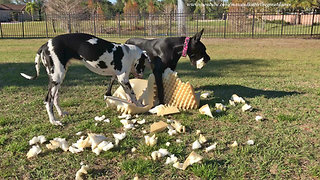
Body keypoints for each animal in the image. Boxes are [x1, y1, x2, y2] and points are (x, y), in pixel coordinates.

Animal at [21, 32, 149, 125]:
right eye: (143, 64)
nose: (141, 75)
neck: (128, 52)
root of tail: (45, 45)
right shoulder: (123, 79)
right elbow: (132, 94)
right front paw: (140, 106)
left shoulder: (119, 79)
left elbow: (128, 94)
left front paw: (131, 104)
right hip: (57, 77)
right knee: (48, 100)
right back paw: (53, 121)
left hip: (58, 79)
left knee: (55, 98)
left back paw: (61, 113)